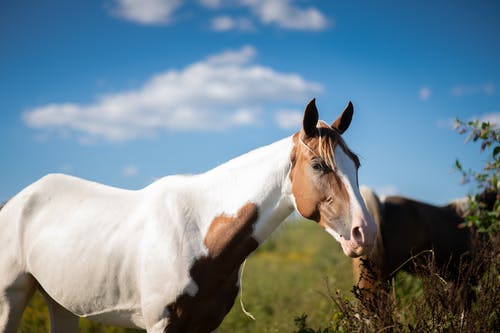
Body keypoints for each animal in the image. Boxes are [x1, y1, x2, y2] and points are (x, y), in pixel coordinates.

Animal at [0, 99, 376, 332]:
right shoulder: (161, 323)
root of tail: (16, 202)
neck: (199, 236)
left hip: (59, 302)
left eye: (357, 163)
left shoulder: (206, 324)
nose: (365, 233)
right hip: (10, 299)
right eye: (318, 165)